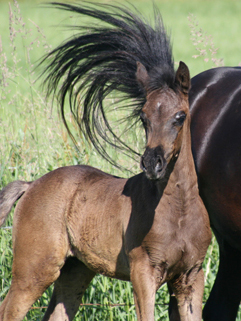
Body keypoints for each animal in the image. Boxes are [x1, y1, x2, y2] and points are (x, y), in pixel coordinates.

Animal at [0, 3, 211, 320]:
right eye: (143, 117)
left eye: (180, 116)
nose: (152, 163)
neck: (179, 212)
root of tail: (32, 184)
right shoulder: (143, 273)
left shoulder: (191, 277)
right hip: (34, 269)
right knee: (9, 309)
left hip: (75, 271)